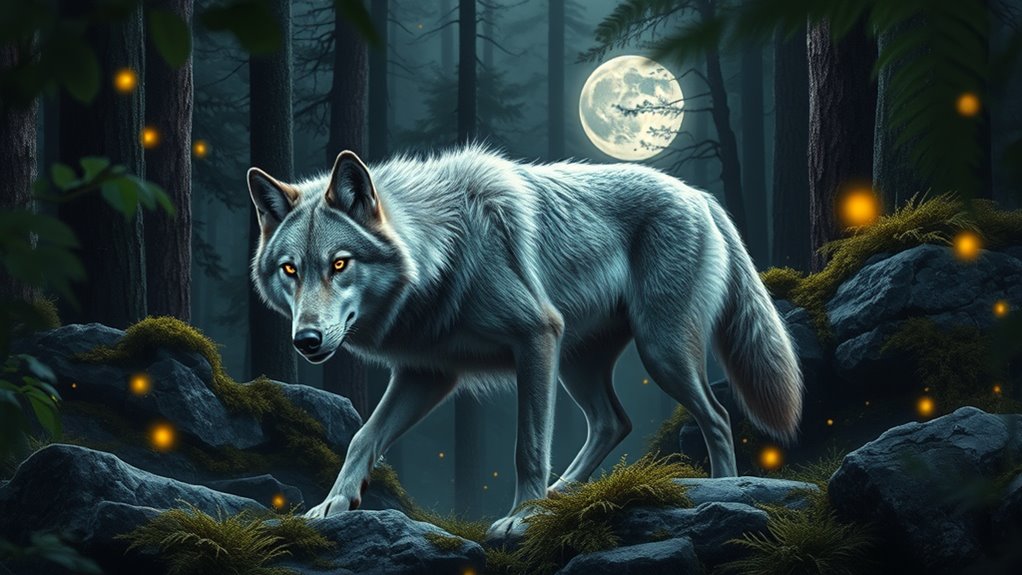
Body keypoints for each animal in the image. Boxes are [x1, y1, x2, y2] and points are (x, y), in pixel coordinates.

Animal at [247, 145, 803, 539]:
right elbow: (363, 437)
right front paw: (333, 504)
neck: (445, 249)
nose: (306, 339)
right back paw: (561, 496)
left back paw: (722, 489)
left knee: (717, 415)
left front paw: (520, 518)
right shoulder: (428, 374)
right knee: (614, 421)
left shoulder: (535, 337)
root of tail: (699, 194)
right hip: (578, 363)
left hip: (657, 351)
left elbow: (528, 446)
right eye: (290, 270)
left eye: (340, 263)